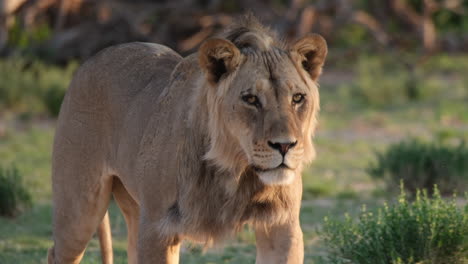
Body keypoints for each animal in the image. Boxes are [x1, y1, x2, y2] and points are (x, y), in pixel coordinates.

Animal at [46, 16, 326, 264]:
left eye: (297, 98)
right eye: (250, 99)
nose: (285, 145)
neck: (235, 170)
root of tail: (91, 59)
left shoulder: (282, 226)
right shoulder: (158, 229)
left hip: (135, 210)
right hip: (80, 210)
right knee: (57, 253)